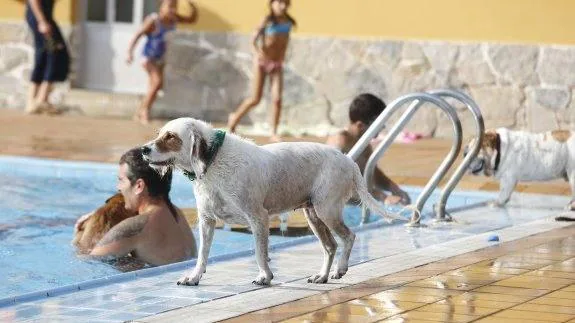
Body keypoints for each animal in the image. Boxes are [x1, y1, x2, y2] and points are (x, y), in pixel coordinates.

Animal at [140, 118, 404, 286]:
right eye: (158, 134)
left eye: (171, 137)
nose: (143, 149)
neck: (214, 161)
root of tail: (348, 160)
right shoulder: (207, 221)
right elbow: (202, 256)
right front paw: (194, 277)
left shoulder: (258, 218)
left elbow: (259, 252)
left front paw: (265, 276)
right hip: (314, 215)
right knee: (330, 246)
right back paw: (322, 276)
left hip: (326, 210)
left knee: (348, 237)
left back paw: (340, 269)